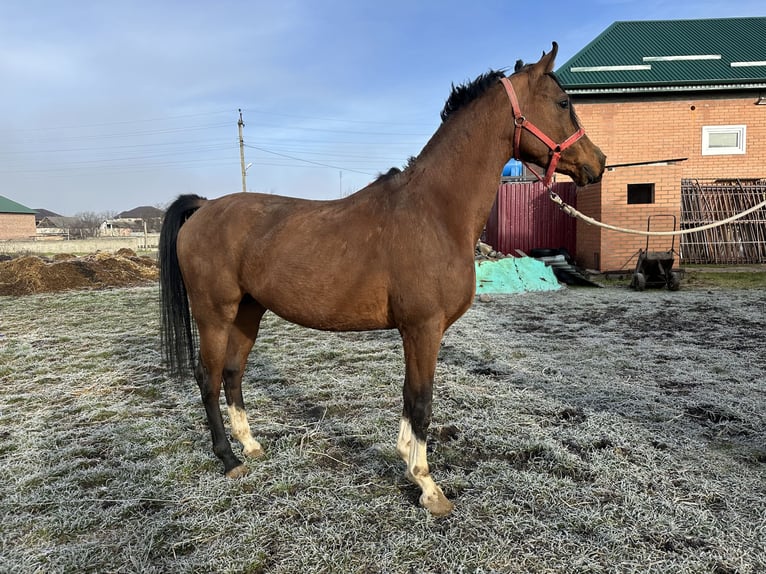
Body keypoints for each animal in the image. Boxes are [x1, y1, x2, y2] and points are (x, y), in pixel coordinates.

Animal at [159, 42, 605, 517]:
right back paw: (228, 459)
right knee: (208, 378)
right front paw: (428, 487)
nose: (599, 163)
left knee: (232, 373)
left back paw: (250, 445)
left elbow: (410, 398)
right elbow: (422, 400)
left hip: (248, 312)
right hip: (214, 313)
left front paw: (408, 462)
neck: (435, 210)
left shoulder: (416, 331)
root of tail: (204, 207)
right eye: (563, 103)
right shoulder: (423, 328)